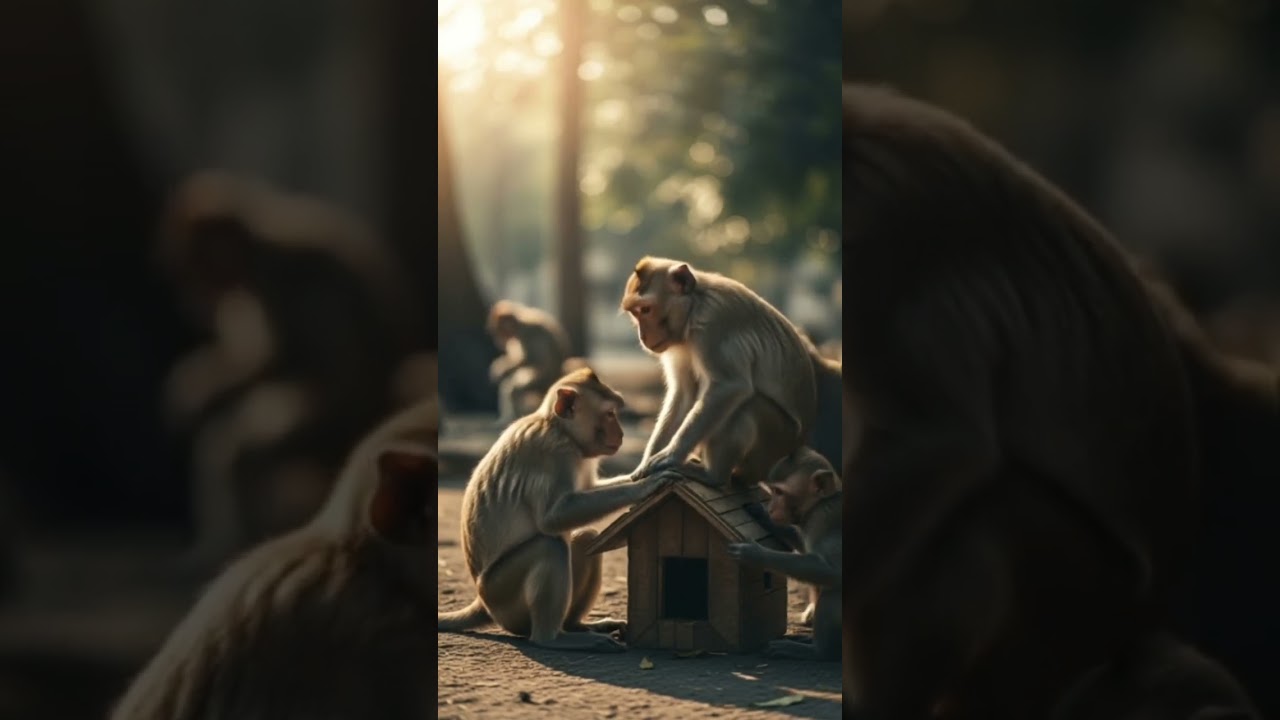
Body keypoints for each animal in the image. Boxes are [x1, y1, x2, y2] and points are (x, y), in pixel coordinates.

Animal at [437, 367, 680, 652]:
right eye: (610, 413)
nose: (620, 434)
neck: (560, 430)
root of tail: (482, 601)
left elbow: (587, 492)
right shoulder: (554, 454)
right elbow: (552, 518)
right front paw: (644, 486)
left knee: (584, 538)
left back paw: (577, 626)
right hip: (502, 597)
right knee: (550, 547)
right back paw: (554, 638)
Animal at [620, 257, 843, 489]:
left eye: (646, 309)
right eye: (635, 312)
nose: (643, 336)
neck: (695, 306)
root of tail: (795, 448)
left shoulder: (713, 324)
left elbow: (731, 386)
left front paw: (670, 456)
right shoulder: (676, 344)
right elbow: (684, 394)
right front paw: (645, 466)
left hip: (774, 443)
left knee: (747, 406)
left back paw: (714, 476)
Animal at [730, 447, 841, 661]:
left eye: (779, 492)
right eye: (773, 491)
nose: (771, 508)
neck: (820, 503)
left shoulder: (821, 520)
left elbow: (832, 571)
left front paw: (756, 554)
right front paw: (762, 515)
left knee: (832, 592)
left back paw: (817, 652)